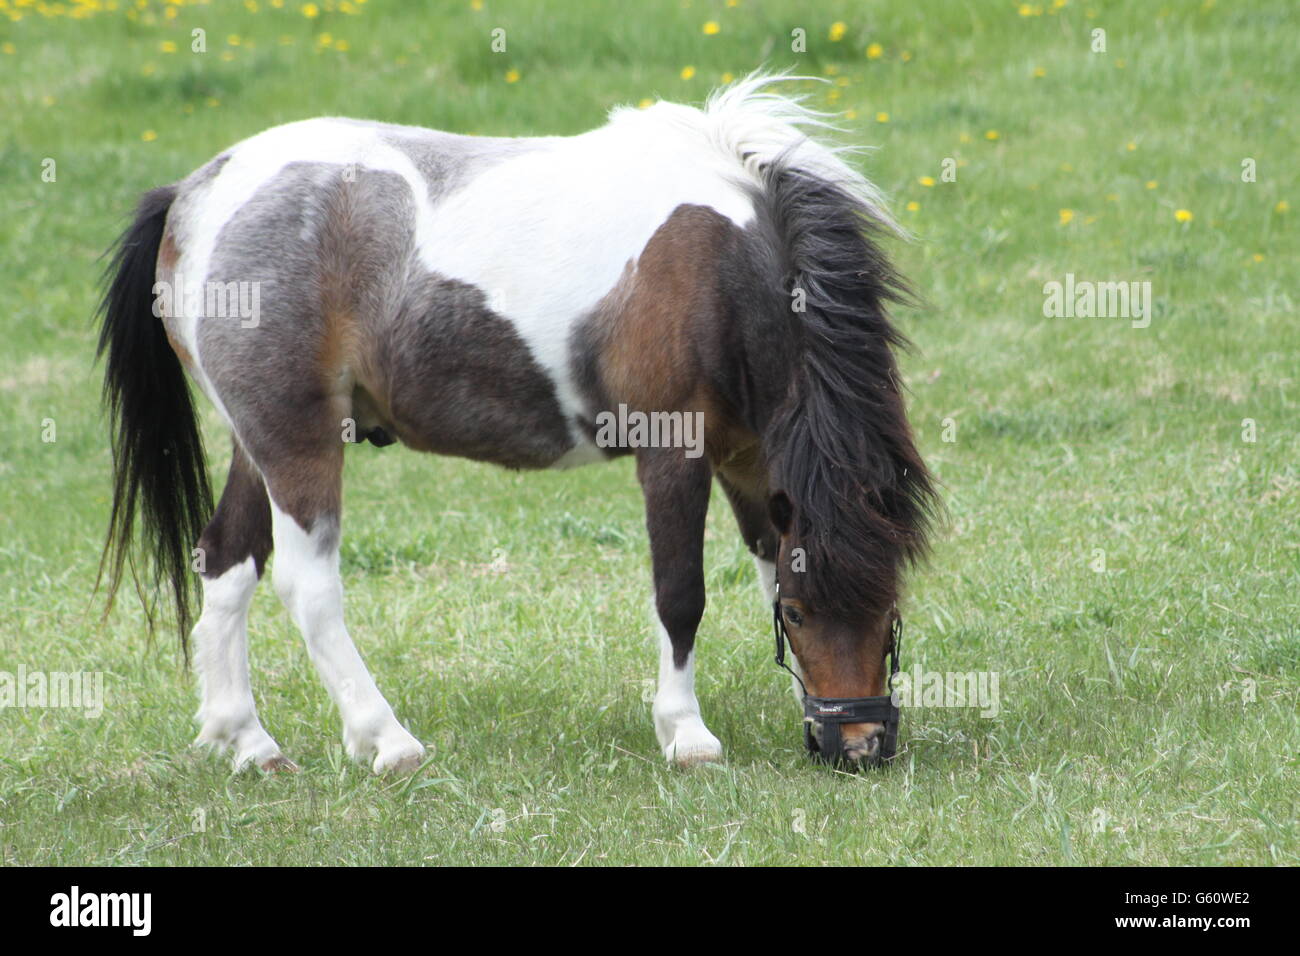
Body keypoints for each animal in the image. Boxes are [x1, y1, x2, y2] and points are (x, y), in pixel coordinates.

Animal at [98, 76, 935, 780]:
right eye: (801, 613)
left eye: (891, 607)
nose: (858, 745)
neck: (722, 267)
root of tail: (196, 195)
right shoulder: (674, 452)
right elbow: (681, 594)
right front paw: (686, 733)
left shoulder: (750, 458)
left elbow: (767, 561)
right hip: (295, 441)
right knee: (309, 588)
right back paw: (387, 741)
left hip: (256, 444)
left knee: (226, 562)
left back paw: (246, 741)